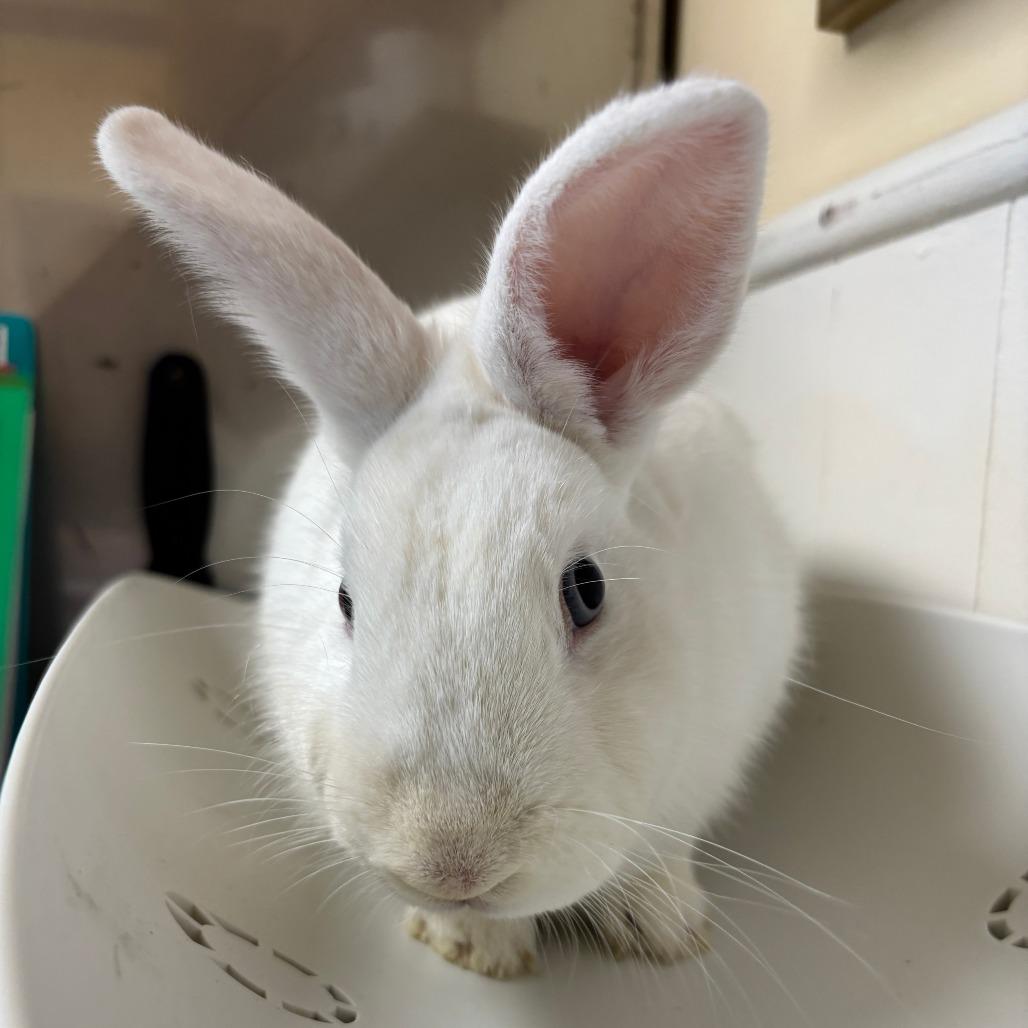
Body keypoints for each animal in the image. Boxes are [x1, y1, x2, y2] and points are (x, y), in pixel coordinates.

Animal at [96, 77, 801, 980]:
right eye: (345, 600)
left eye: (588, 590)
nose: (450, 864)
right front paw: (475, 950)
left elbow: (654, 850)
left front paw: (662, 930)